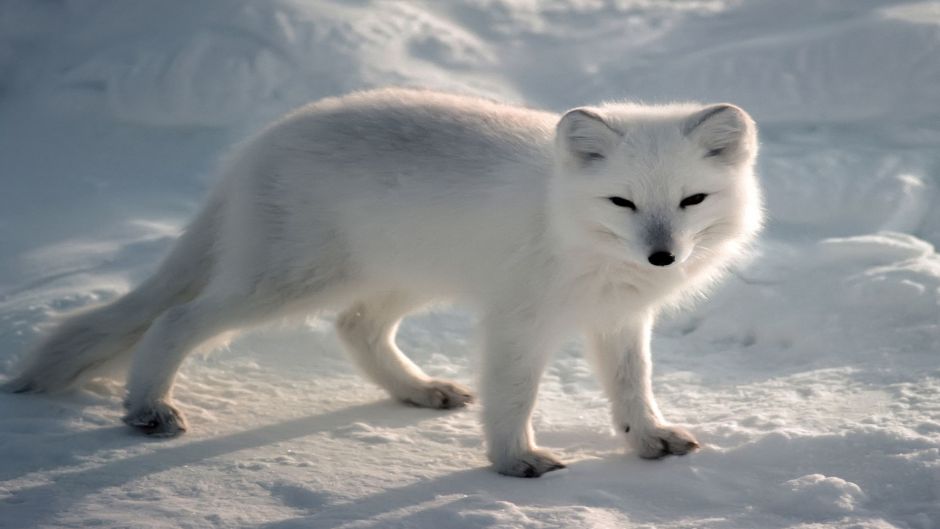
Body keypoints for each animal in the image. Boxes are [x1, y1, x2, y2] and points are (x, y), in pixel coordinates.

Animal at [7, 88, 764, 476]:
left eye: (692, 200)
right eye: (623, 203)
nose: (662, 258)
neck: (566, 220)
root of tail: (257, 145)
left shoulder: (618, 318)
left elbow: (633, 387)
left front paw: (647, 439)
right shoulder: (518, 319)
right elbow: (515, 395)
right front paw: (514, 459)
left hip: (397, 278)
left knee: (356, 327)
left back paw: (418, 390)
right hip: (287, 282)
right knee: (176, 319)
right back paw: (146, 408)